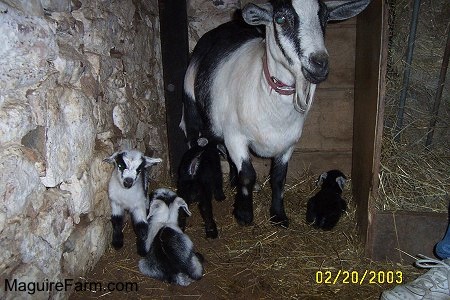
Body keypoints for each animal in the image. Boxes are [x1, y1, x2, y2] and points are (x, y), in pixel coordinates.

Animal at [181, 0, 370, 227]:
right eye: (280, 19)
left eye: (325, 18)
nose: (320, 63)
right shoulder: (235, 137)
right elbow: (248, 174)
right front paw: (244, 214)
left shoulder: (288, 144)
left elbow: (278, 178)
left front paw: (278, 215)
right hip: (193, 106)